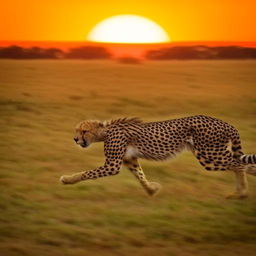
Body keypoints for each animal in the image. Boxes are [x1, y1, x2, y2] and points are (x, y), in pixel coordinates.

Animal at [60, 115, 256, 199]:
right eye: (77, 130)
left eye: (84, 131)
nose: (75, 139)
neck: (105, 131)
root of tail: (225, 122)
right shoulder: (129, 159)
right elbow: (140, 176)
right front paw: (151, 190)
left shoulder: (112, 164)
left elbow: (86, 173)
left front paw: (67, 179)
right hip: (211, 153)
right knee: (247, 165)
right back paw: (241, 192)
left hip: (209, 154)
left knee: (239, 165)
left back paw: (241, 193)